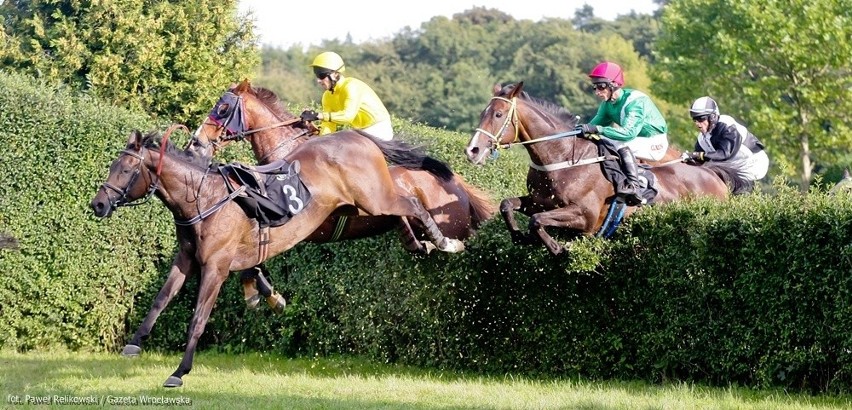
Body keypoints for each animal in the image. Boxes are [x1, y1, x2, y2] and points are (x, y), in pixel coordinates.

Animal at [88, 130, 466, 386]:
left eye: (125, 170)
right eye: (112, 166)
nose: (98, 204)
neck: (203, 199)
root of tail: (356, 135)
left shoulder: (215, 268)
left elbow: (198, 319)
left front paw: (179, 372)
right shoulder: (186, 260)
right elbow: (160, 299)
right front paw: (134, 343)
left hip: (374, 199)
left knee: (412, 203)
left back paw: (445, 241)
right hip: (364, 206)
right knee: (402, 210)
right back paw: (421, 243)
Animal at [462, 82, 748, 256]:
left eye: (498, 115)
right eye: (483, 112)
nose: (472, 150)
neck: (563, 159)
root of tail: (712, 173)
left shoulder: (585, 216)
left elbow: (537, 220)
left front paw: (556, 247)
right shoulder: (539, 201)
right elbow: (507, 205)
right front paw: (519, 236)